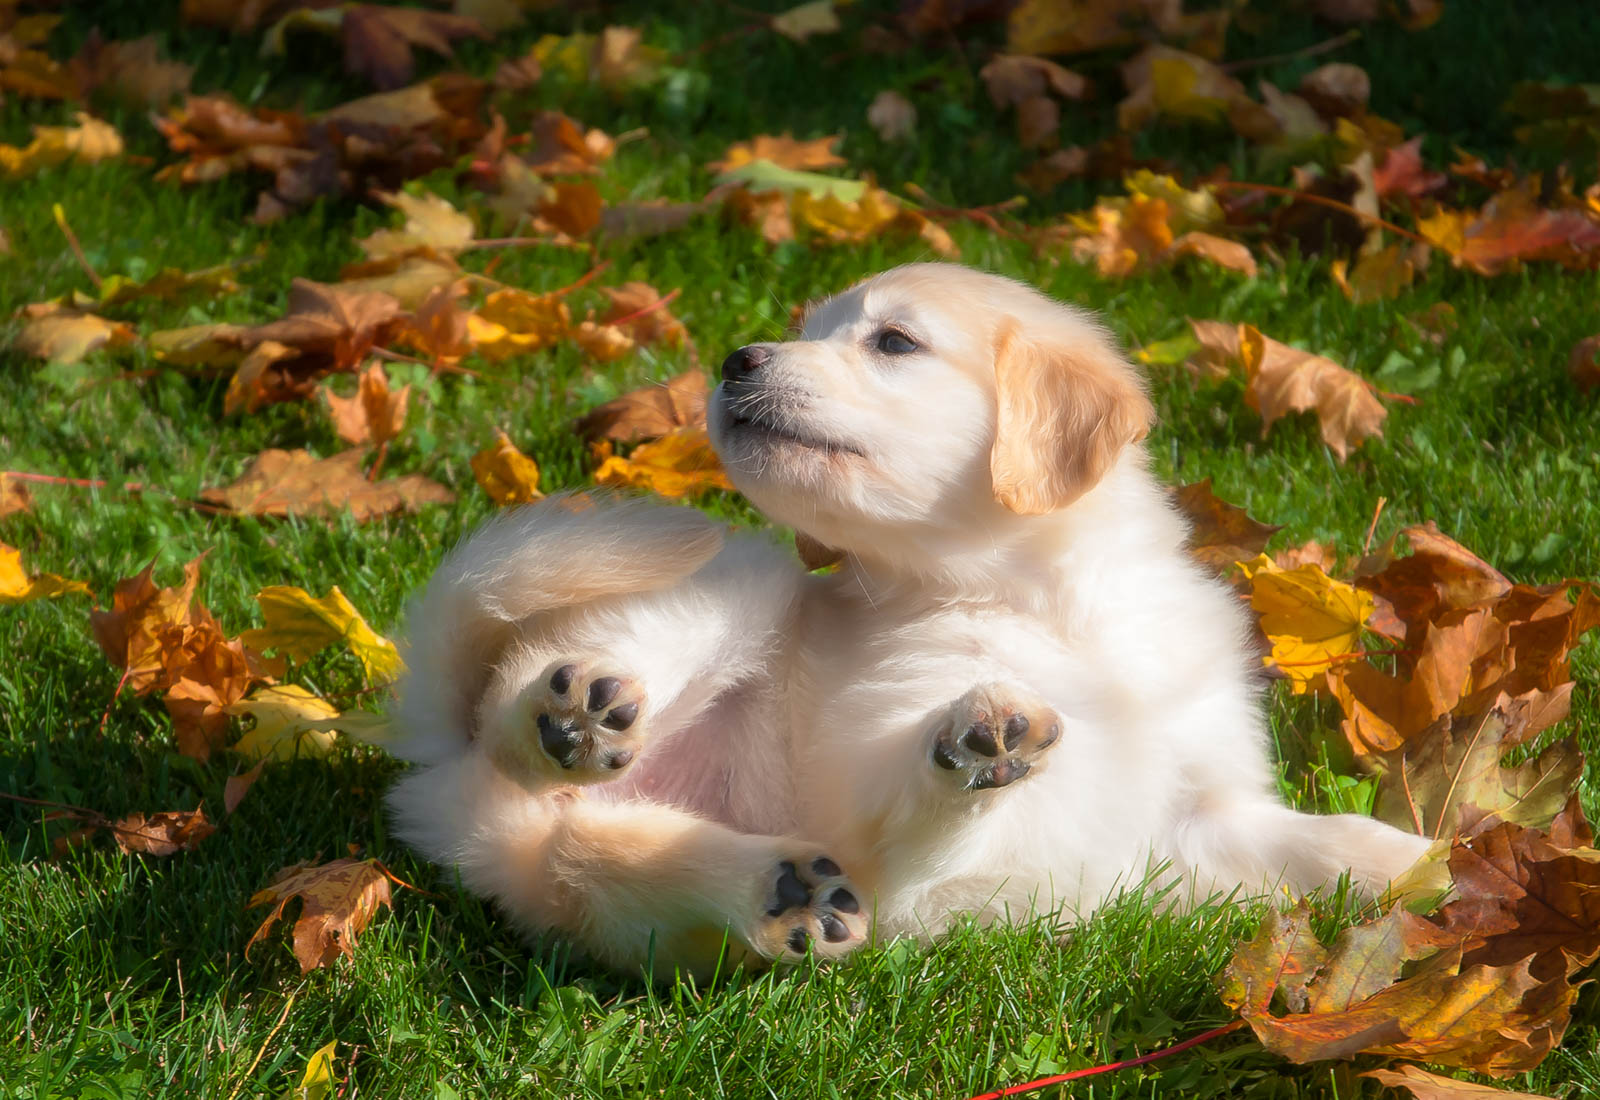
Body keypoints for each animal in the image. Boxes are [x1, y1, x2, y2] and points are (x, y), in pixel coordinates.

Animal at [387, 262, 1427, 978]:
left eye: (892, 343)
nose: (736, 359)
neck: (1046, 606)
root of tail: (443, 756)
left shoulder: (1195, 819)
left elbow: (1317, 838)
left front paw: (1424, 865)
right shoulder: (906, 857)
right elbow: (934, 808)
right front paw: (982, 735)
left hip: (607, 906)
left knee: (595, 858)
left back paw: (784, 893)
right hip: (736, 586)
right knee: (550, 714)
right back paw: (574, 716)